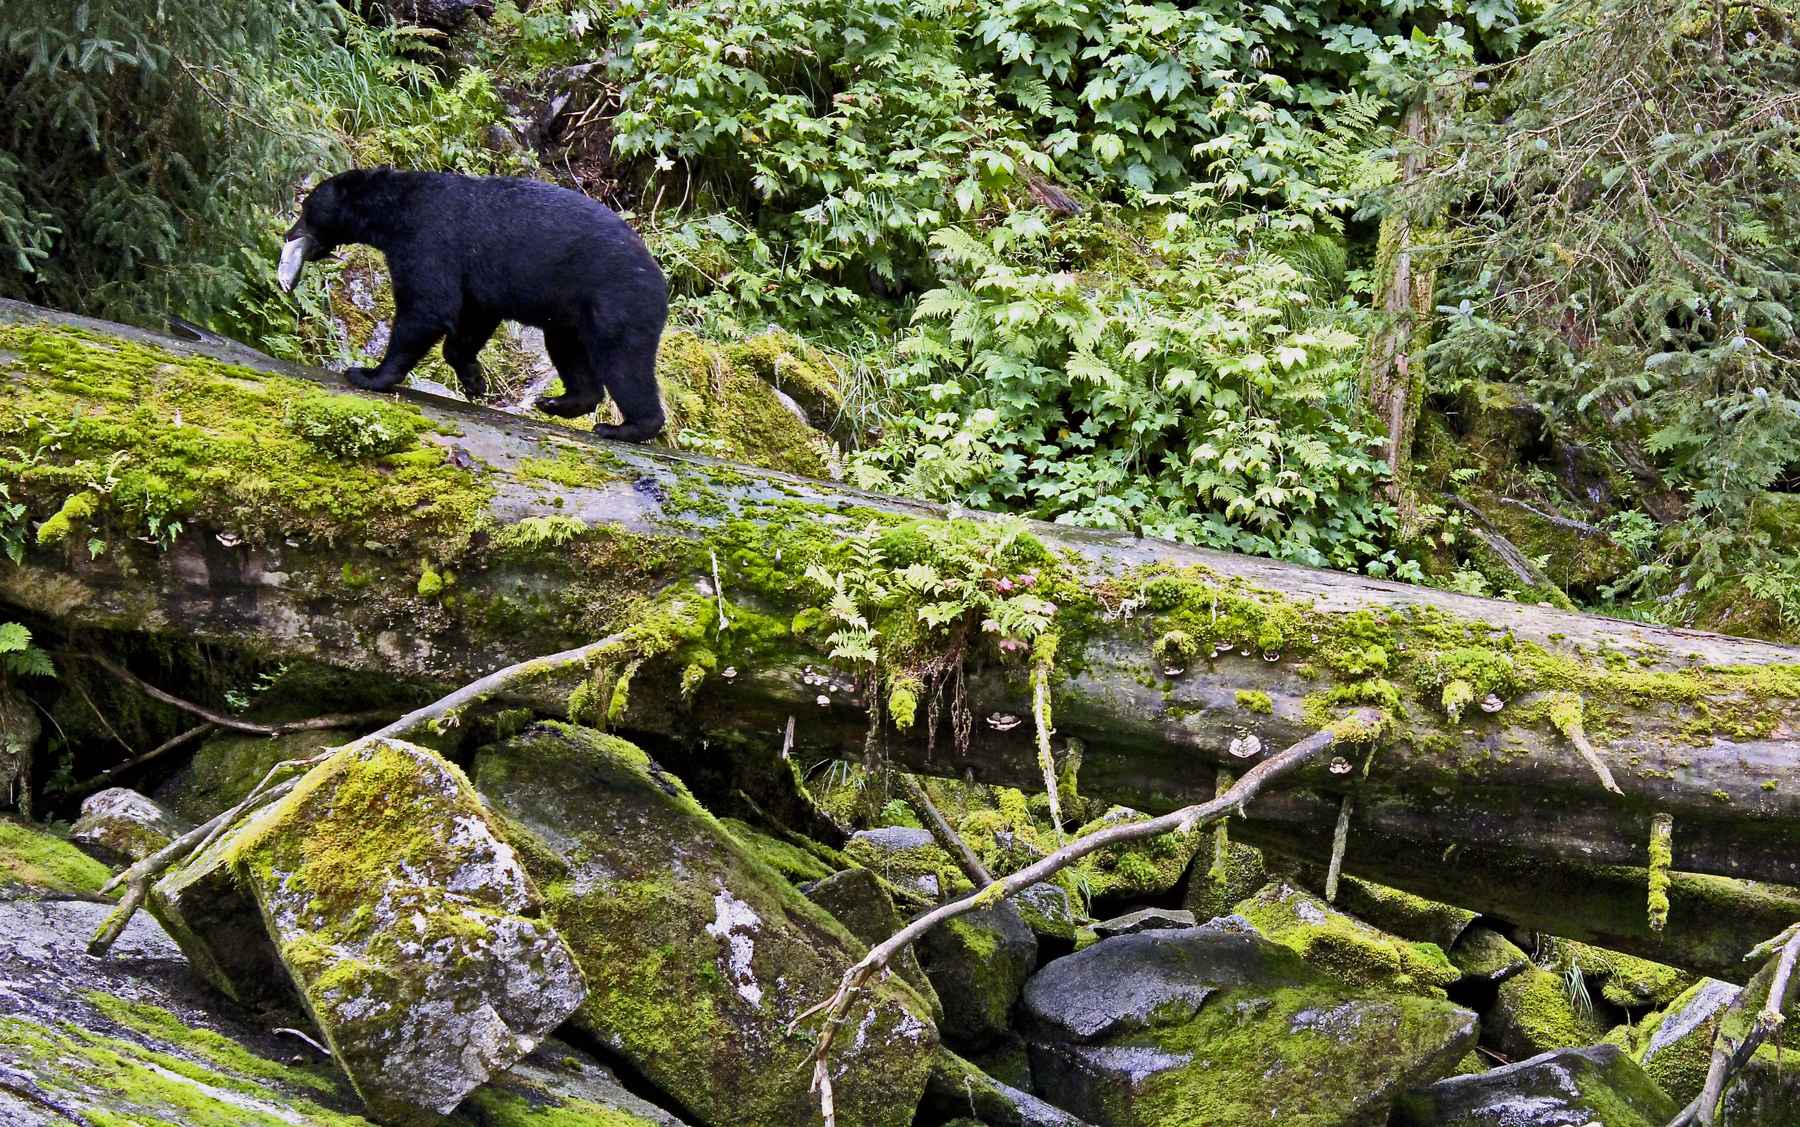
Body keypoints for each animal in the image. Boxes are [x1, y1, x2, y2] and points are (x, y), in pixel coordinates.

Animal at [278, 168, 668, 443]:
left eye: (305, 208)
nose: (288, 234)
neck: (396, 212)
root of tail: (659, 279)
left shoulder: (428, 241)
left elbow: (428, 306)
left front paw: (369, 374)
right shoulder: (479, 282)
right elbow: (471, 320)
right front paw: (474, 380)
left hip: (617, 305)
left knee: (623, 364)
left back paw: (624, 428)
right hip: (569, 316)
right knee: (569, 352)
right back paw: (558, 402)